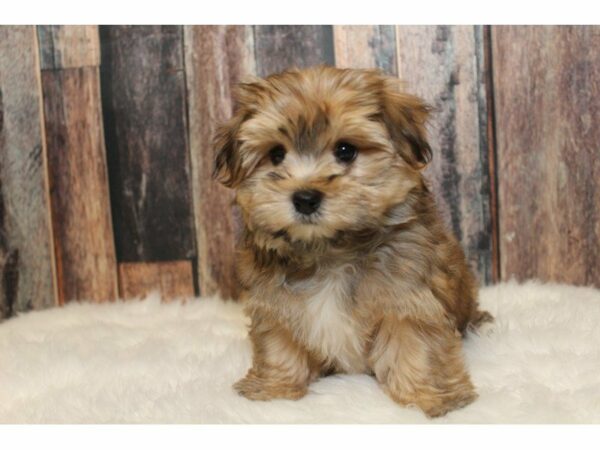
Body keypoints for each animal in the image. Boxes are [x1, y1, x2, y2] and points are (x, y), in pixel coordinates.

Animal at [213, 65, 490, 416]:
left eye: (345, 150)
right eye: (276, 155)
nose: (305, 198)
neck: (331, 250)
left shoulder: (408, 298)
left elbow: (417, 346)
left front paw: (430, 397)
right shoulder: (274, 302)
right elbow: (279, 344)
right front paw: (274, 390)